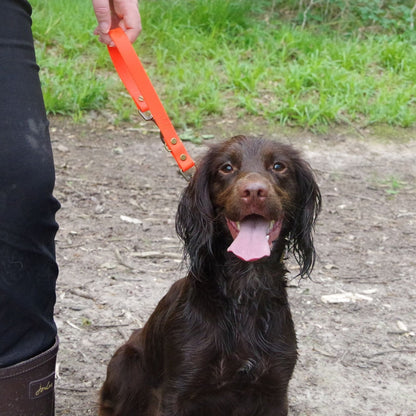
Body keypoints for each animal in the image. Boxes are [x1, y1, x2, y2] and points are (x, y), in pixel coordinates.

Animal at [99, 136, 320, 416]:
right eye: (226, 168)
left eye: (279, 166)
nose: (254, 191)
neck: (244, 290)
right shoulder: (177, 390)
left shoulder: (275, 390)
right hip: (125, 364)